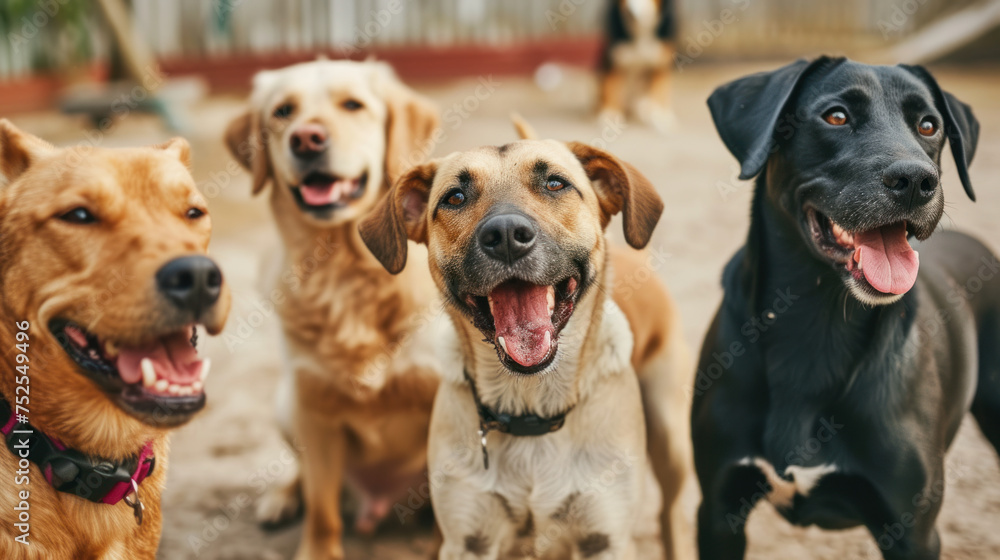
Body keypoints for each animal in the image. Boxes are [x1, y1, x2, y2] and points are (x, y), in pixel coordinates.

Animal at [227, 59, 446, 556]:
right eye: (283, 111)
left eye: (353, 105)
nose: (306, 139)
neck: (345, 272)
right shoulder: (314, 408)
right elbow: (323, 507)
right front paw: (317, 548)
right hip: (286, 403)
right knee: (308, 479)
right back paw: (282, 498)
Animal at [360, 130, 696, 556]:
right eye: (455, 197)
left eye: (555, 183)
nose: (505, 236)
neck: (530, 406)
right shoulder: (468, 539)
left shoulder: (605, 539)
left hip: (670, 439)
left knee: (672, 515)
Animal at [696, 58, 1000, 560]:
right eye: (835, 116)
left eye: (929, 125)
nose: (917, 181)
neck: (817, 320)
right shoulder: (719, 513)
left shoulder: (914, 534)